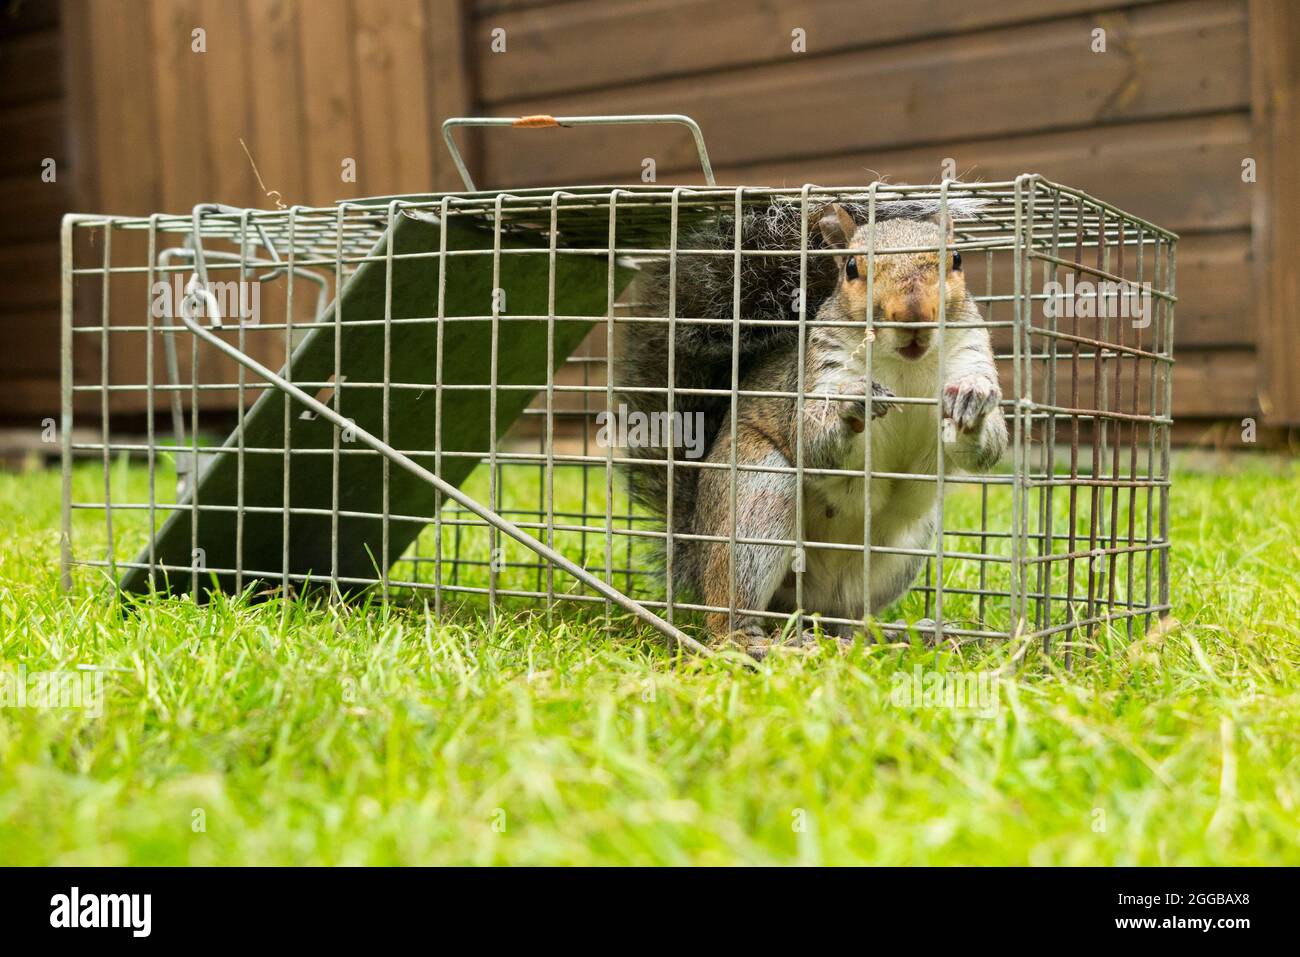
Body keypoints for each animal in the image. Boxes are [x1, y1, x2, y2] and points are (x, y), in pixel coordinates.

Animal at [616, 196, 1003, 657]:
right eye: (851, 268)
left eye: (957, 260)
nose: (913, 315)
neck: (906, 366)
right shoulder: (819, 372)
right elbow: (812, 442)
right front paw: (852, 401)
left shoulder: (970, 352)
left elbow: (990, 447)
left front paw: (974, 400)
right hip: (756, 500)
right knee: (728, 615)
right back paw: (755, 640)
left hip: (900, 551)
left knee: (847, 619)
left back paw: (896, 634)